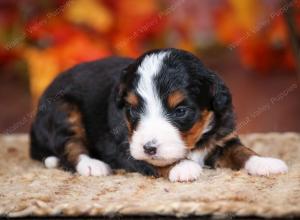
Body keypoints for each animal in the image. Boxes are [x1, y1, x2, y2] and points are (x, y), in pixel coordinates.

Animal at [30, 48, 288, 182]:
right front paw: (182, 167)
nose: (149, 147)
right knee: (69, 145)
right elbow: (155, 162)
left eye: (180, 111)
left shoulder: (222, 136)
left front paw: (264, 162)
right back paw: (92, 165)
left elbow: (241, 151)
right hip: (63, 108)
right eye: (133, 110)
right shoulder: (125, 148)